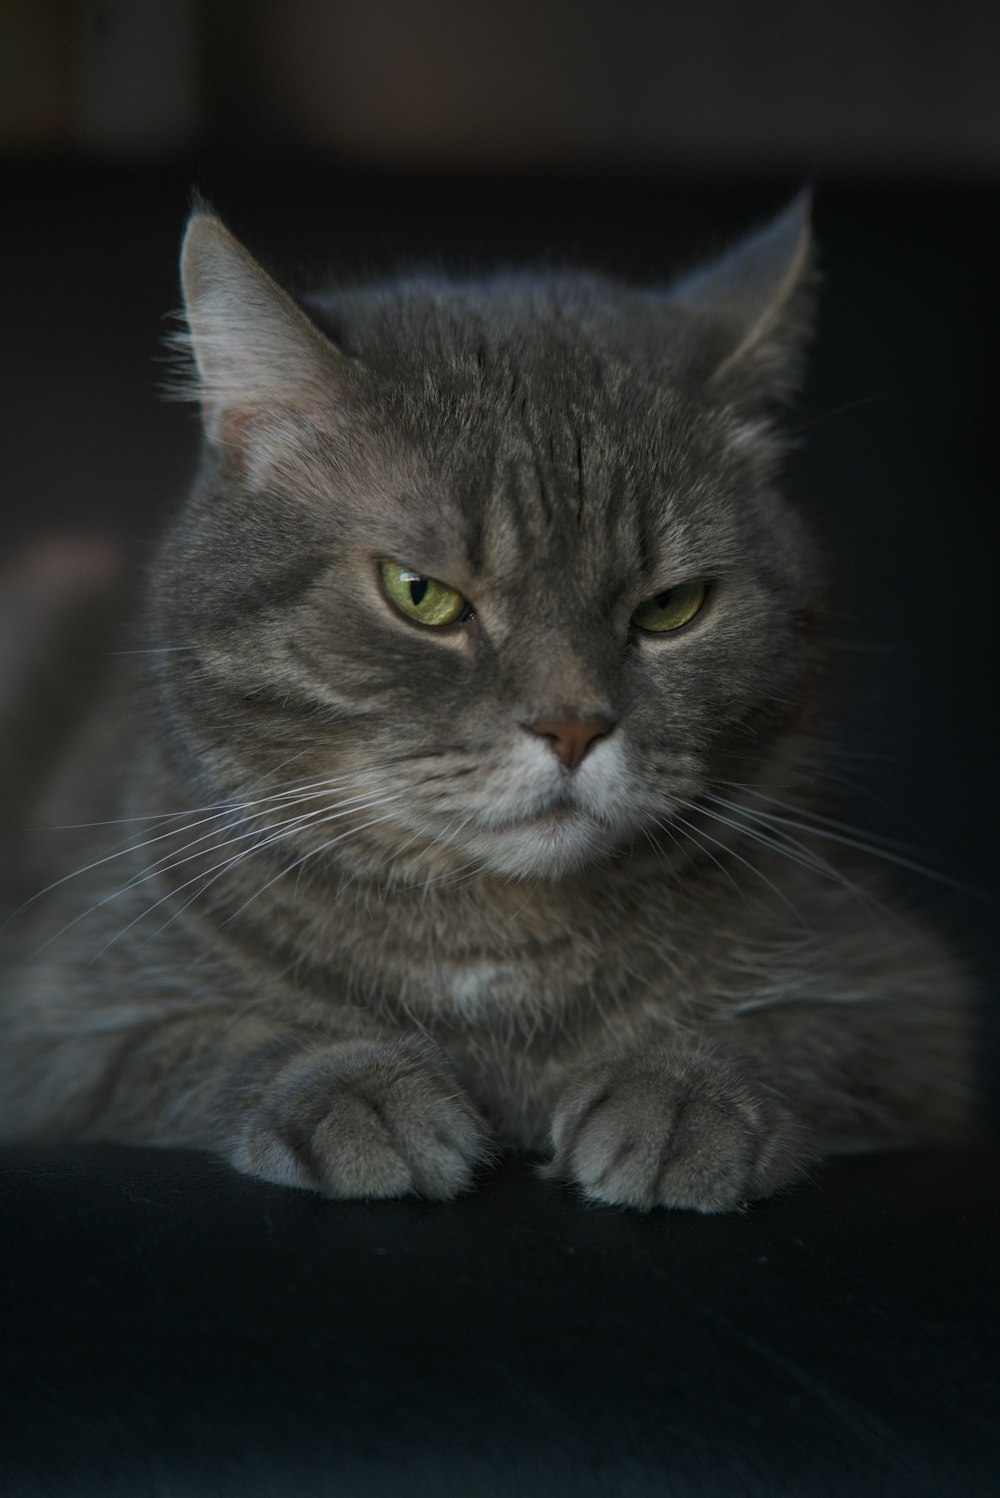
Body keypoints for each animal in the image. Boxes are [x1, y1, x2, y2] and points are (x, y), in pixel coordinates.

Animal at [0, 199, 970, 1210]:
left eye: (671, 607)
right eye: (420, 594)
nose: (573, 725)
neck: (493, 953)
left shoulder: (908, 1001)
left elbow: (797, 1038)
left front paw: (684, 1092)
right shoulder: (53, 1009)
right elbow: (214, 1037)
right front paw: (358, 1088)